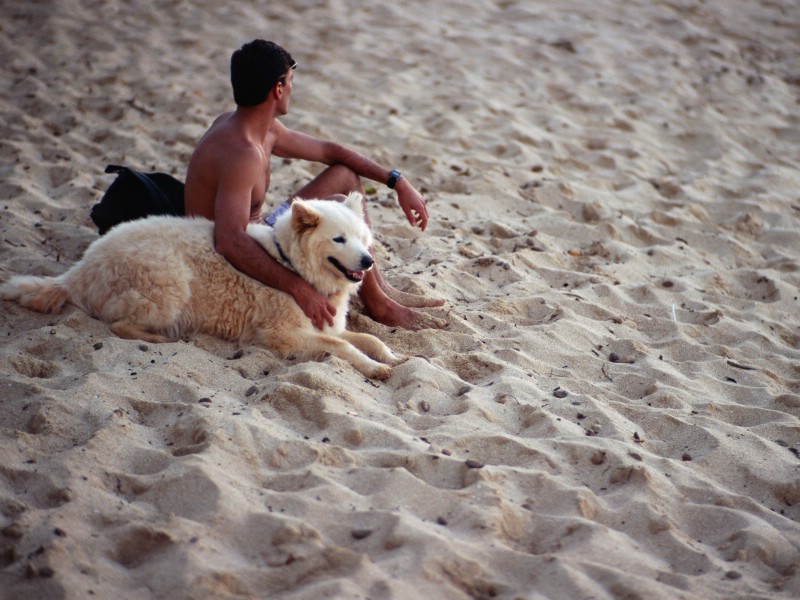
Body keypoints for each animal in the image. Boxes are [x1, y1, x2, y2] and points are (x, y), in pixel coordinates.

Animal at [0, 195, 404, 378]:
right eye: (339, 240)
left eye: (362, 239)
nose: (367, 263)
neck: (291, 265)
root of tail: (80, 269)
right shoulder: (284, 335)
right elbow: (343, 347)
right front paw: (374, 368)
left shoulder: (327, 325)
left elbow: (369, 338)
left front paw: (393, 357)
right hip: (170, 282)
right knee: (120, 325)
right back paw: (163, 338)